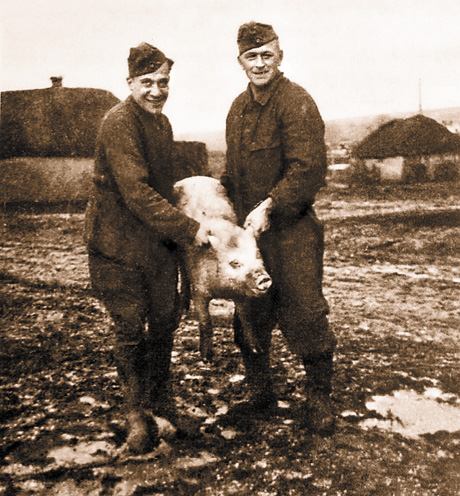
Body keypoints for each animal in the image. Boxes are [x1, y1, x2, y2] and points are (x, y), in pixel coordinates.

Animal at [174, 176, 272, 362]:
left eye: (257, 254)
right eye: (235, 263)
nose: (264, 278)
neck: (224, 291)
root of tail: (195, 178)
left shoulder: (242, 295)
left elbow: (246, 318)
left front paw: (257, 350)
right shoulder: (199, 291)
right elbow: (205, 321)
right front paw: (207, 358)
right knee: (183, 273)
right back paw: (183, 306)